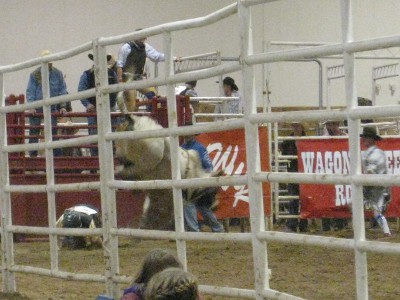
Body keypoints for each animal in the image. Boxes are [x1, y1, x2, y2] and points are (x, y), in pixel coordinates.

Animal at [115, 84, 222, 230]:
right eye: (213, 191)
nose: (216, 206)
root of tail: (132, 119)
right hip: (148, 159)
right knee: (129, 169)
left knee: (122, 166)